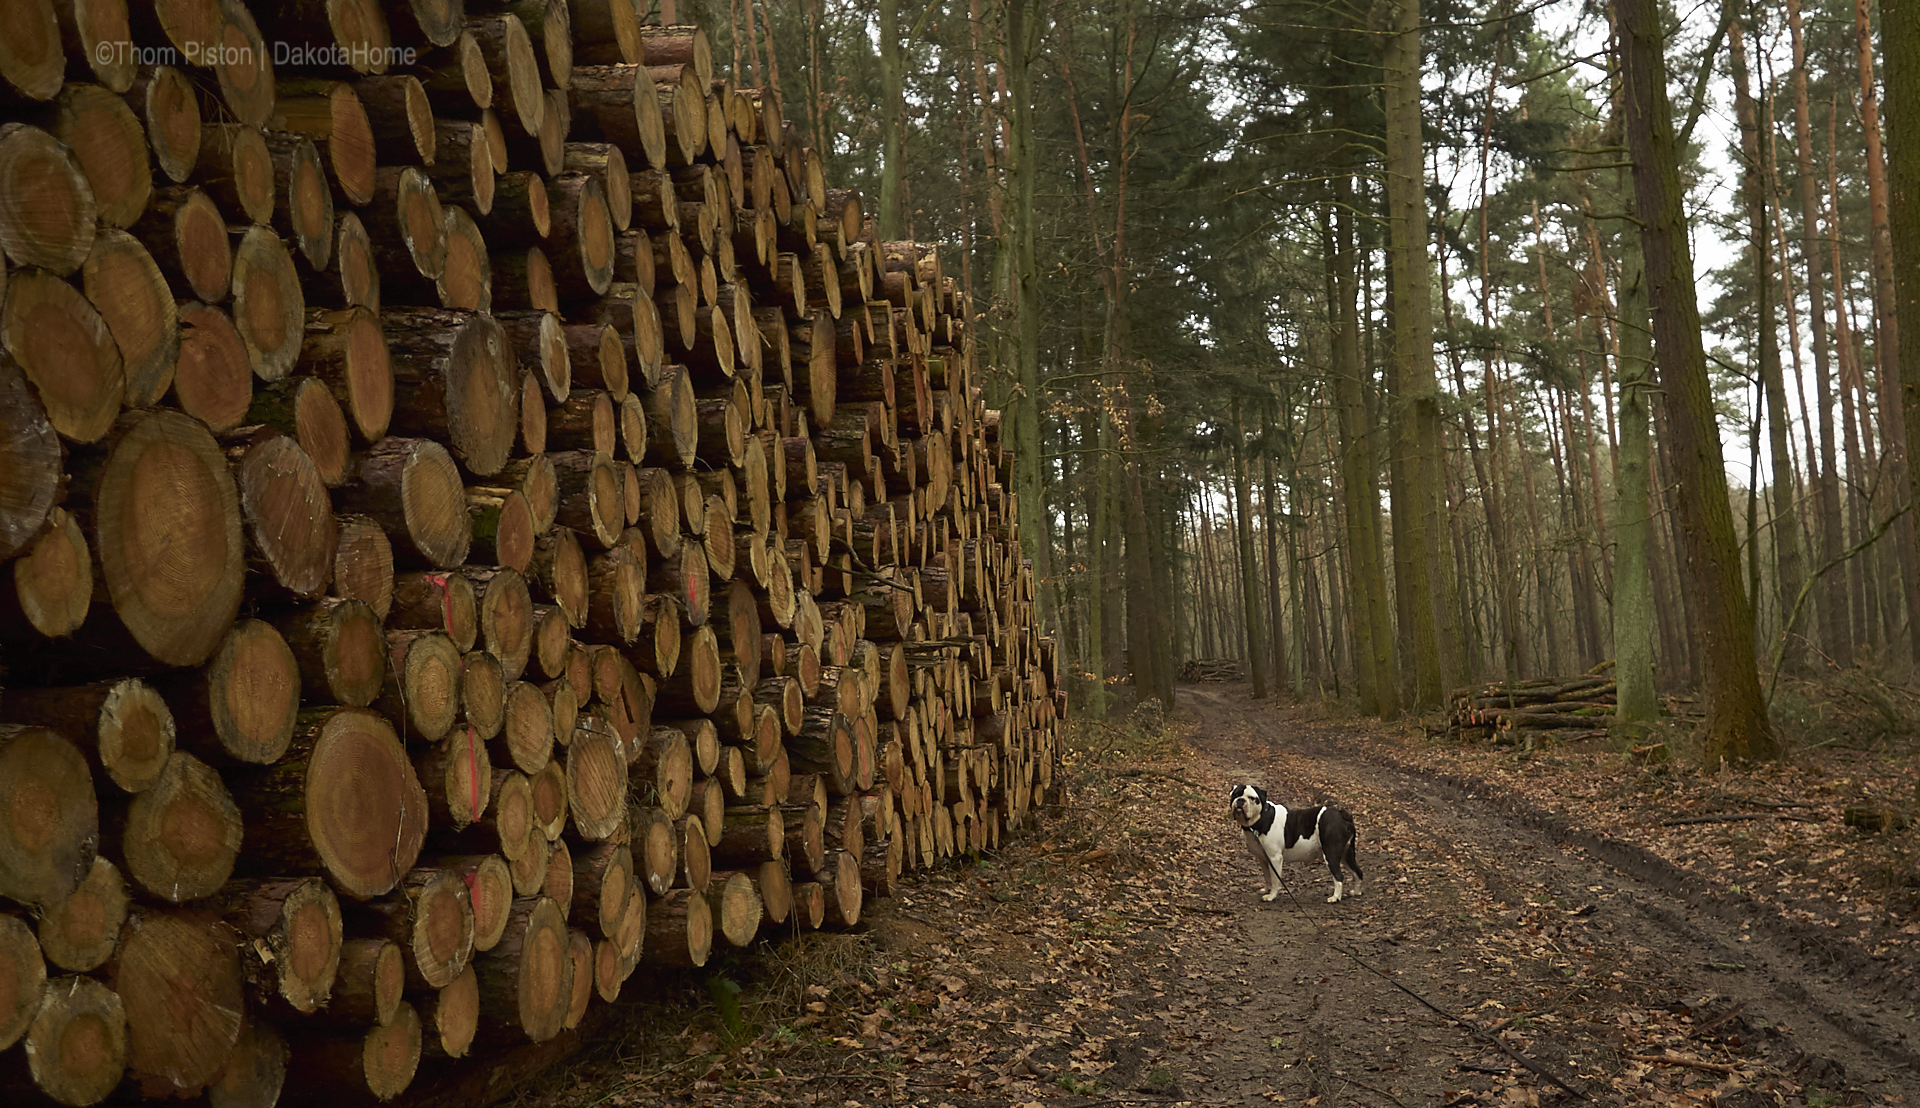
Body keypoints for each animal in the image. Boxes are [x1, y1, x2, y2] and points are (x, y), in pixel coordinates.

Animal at [1228, 783, 1367, 902]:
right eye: (1235, 795)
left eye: (1252, 798)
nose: (1240, 800)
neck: (1261, 818)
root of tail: (1342, 814)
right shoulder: (1263, 859)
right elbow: (1267, 877)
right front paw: (1266, 890)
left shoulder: (1275, 858)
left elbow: (1275, 880)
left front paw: (1271, 896)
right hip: (1346, 854)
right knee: (1357, 871)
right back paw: (1356, 892)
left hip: (1331, 854)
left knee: (1338, 876)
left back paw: (1335, 897)